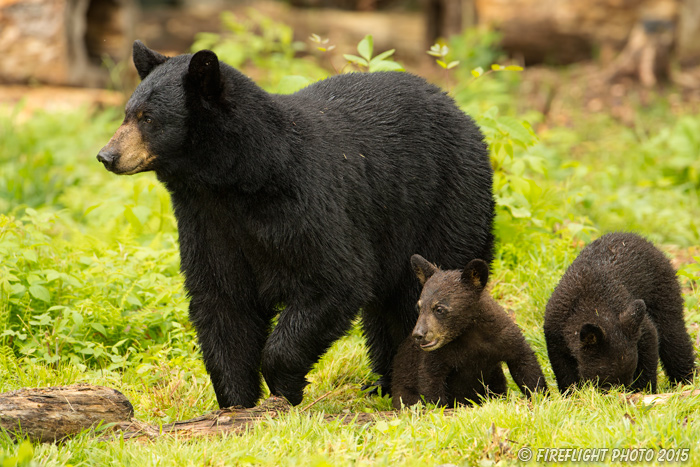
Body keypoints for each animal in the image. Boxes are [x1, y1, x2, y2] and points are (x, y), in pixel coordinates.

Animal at [95, 43, 494, 410]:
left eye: (148, 118)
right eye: (127, 113)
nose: (106, 155)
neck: (236, 183)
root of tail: (460, 111)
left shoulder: (306, 203)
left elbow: (335, 278)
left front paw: (284, 389)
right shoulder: (208, 223)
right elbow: (222, 301)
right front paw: (237, 404)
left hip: (446, 202)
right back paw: (383, 383)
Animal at [388, 256, 548, 410]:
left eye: (439, 309)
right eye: (419, 307)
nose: (418, 334)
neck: (468, 332)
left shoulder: (502, 335)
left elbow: (524, 360)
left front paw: (541, 396)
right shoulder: (438, 356)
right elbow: (430, 381)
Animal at [544, 232, 696, 394]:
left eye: (628, 377)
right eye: (603, 381)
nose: (618, 395)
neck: (589, 300)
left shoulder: (633, 319)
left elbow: (649, 343)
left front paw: (644, 390)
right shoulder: (555, 333)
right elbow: (564, 369)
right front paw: (572, 393)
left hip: (664, 294)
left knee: (674, 337)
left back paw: (686, 380)